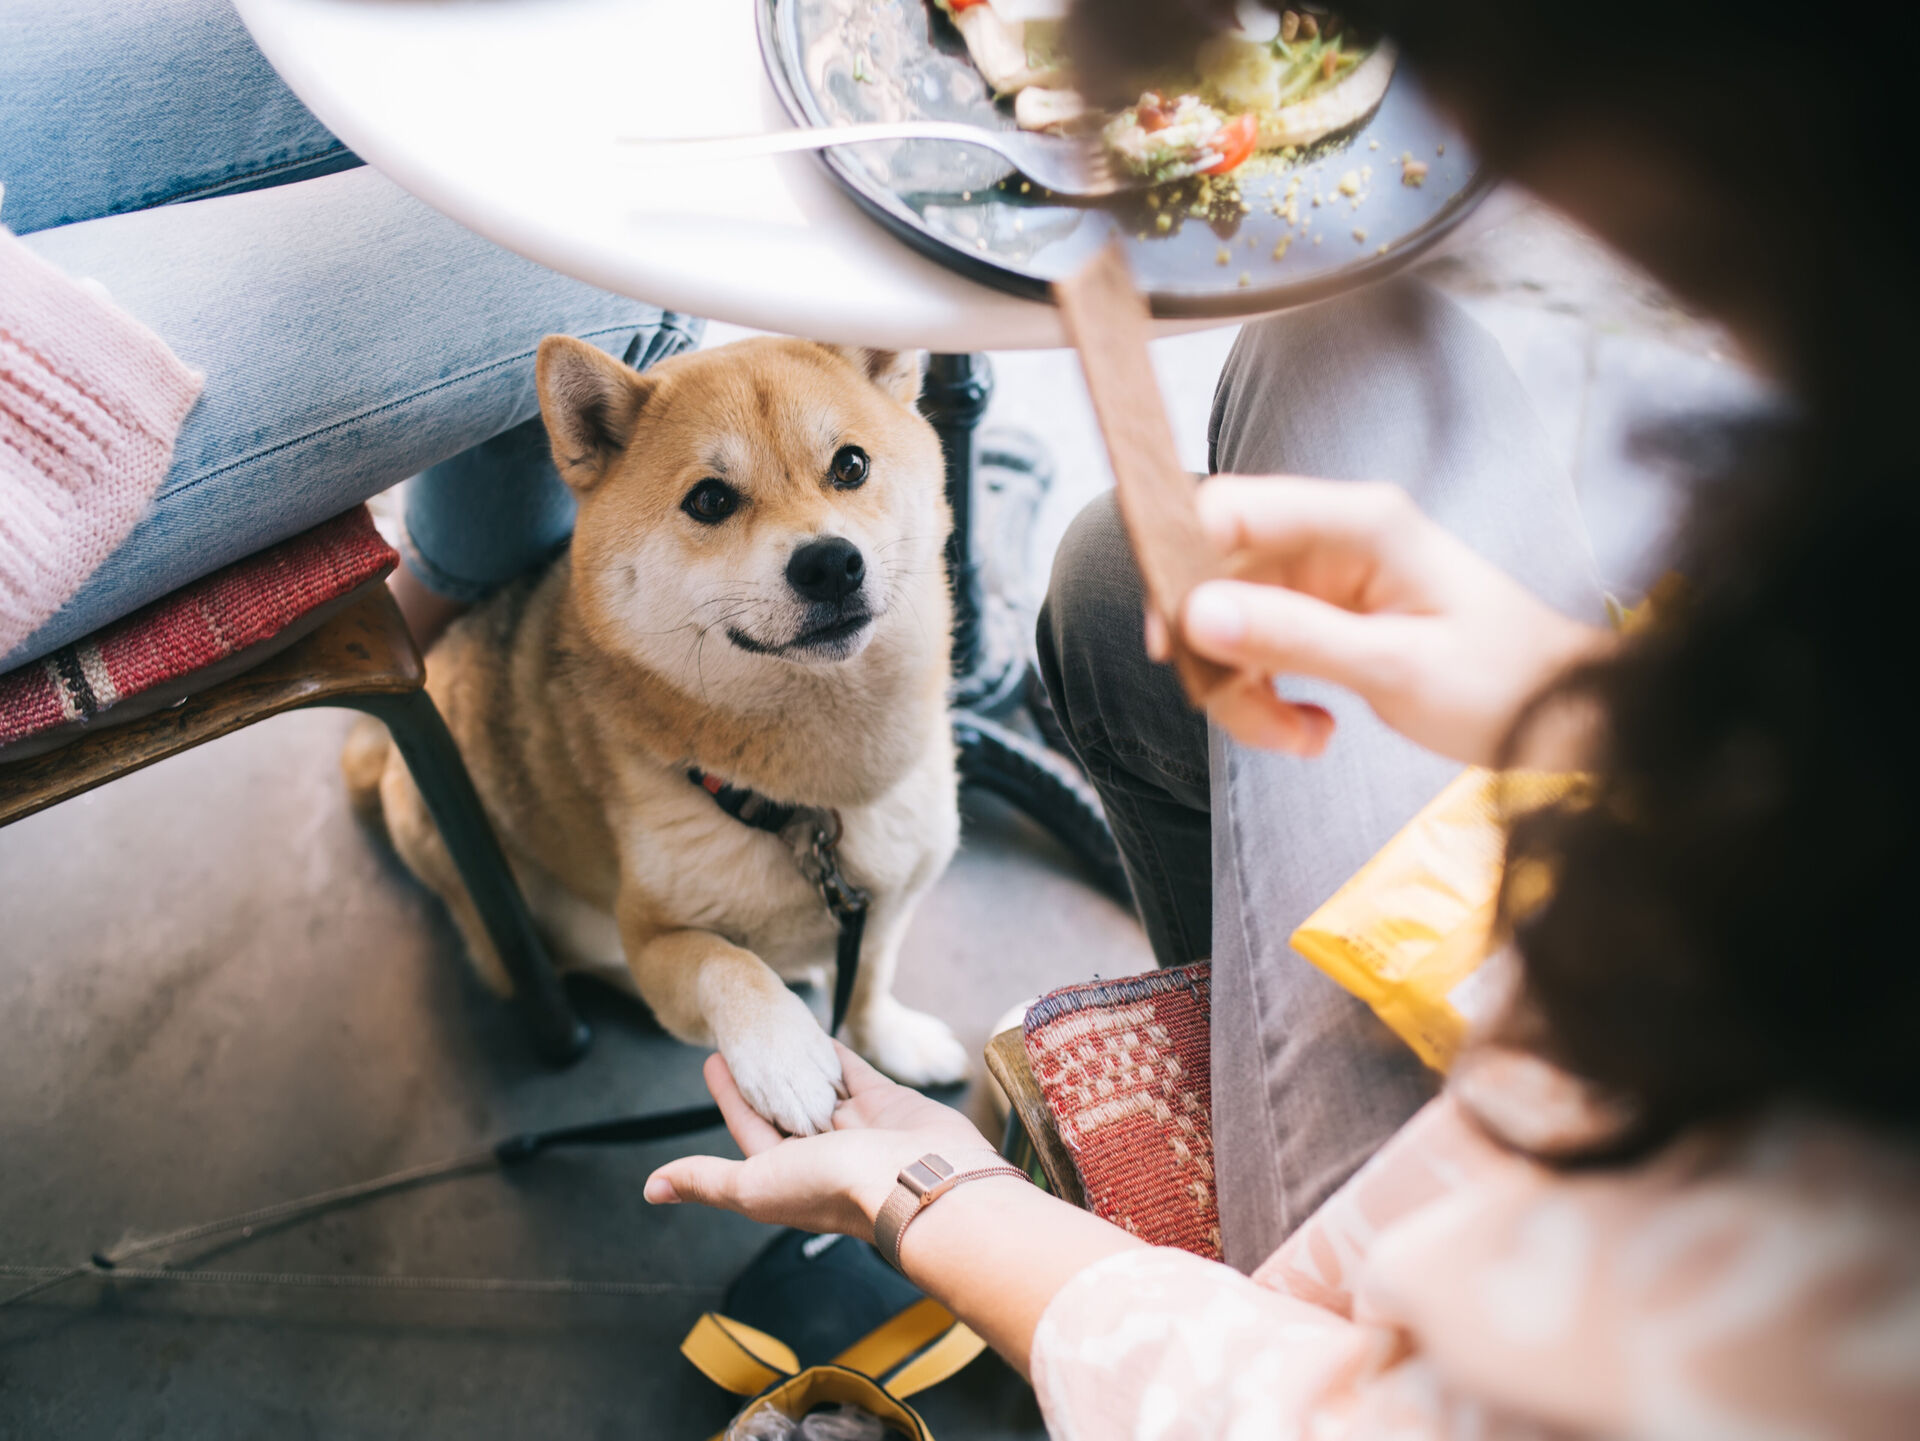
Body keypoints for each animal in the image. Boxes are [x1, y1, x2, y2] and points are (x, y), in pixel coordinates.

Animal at [347, 337, 967, 1135]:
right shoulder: (655, 938)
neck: (812, 798)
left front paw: (890, 1039)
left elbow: (867, 983)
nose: (830, 563)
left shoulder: (886, 901)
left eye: (851, 465)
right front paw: (784, 1053)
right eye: (710, 499)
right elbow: (723, 963)